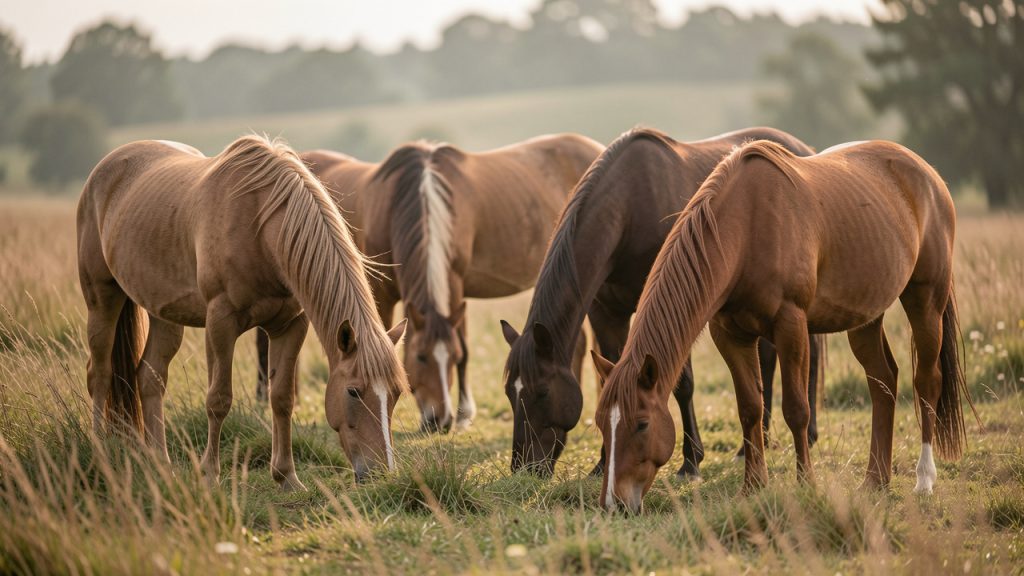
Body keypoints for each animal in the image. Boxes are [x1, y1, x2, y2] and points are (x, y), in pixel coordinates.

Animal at [77, 135, 409, 489]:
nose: (380, 472)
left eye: (397, 392)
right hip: (102, 298)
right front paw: (210, 475)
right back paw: (100, 452)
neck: (260, 227)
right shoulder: (221, 322)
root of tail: (106, 166)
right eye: (353, 391)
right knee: (99, 374)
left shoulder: (291, 325)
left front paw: (287, 477)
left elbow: (282, 398)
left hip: (165, 315)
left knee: (150, 378)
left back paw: (161, 465)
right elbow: (219, 399)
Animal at [256, 135, 604, 433]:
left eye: (449, 357)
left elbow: (464, 346)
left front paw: (464, 414)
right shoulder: (380, 294)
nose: (439, 420)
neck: (421, 195)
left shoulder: (455, 285)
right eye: (420, 357)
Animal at [499, 127, 821, 479]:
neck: (629, 210)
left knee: (812, 354)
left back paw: (810, 434)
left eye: (542, 391)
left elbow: (683, 385)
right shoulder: (607, 313)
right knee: (766, 359)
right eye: (509, 392)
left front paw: (691, 462)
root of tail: (802, 147)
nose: (523, 468)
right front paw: (602, 463)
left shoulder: (677, 304)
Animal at [594, 139, 973, 513]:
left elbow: (796, 410)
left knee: (927, 382)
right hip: (866, 316)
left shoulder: (791, 326)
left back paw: (924, 480)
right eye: (600, 422)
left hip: (926, 300)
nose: (614, 503)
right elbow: (750, 409)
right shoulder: (729, 335)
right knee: (883, 382)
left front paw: (806, 485)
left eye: (642, 424)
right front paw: (752, 486)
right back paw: (875, 481)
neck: (746, 227)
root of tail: (929, 175)